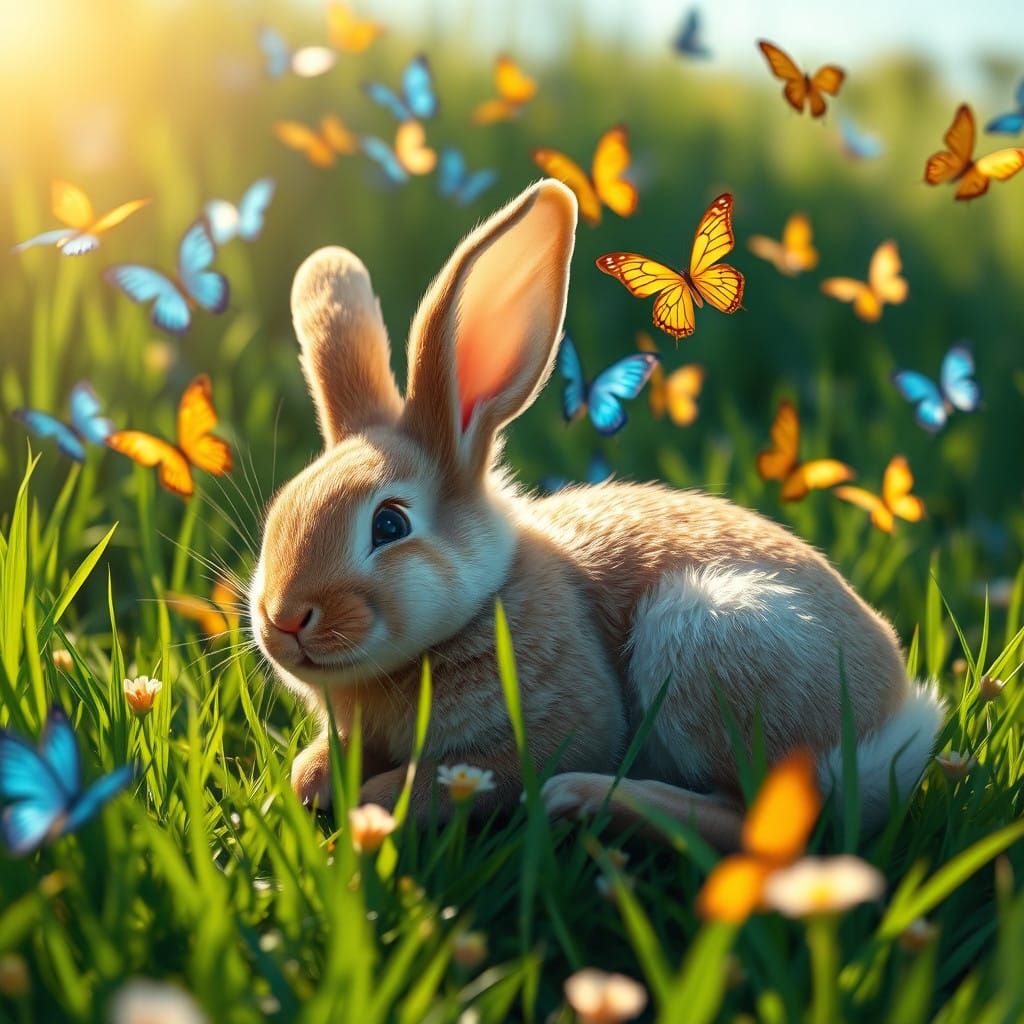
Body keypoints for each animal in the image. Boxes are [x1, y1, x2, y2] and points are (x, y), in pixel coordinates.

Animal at [250, 179, 944, 849]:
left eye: (389, 524)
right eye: (278, 513)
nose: (284, 618)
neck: (485, 597)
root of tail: (897, 723)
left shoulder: (553, 726)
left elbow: (455, 778)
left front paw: (369, 805)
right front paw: (312, 777)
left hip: (707, 637)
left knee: (759, 820)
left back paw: (585, 800)